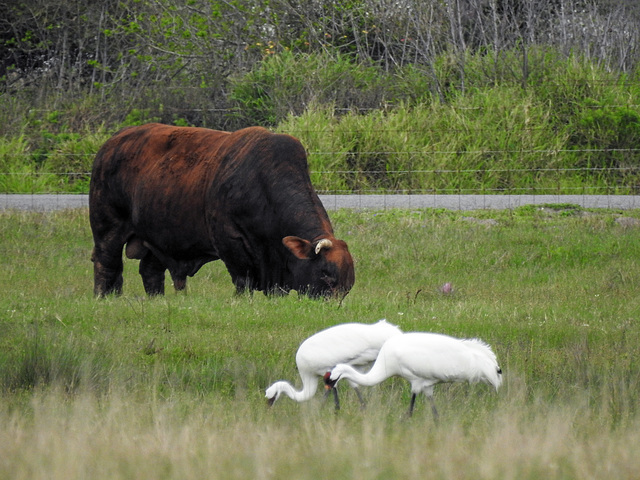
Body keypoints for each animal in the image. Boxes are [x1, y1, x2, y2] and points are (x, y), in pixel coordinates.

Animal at [89, 124, 356, 296]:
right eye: (325, 274)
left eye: (347, 287)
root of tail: (112, 143)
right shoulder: (230, 241)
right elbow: (243, 281)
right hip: (107, 227)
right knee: (107, 263)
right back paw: (105, 297)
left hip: (157, 236)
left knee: (150, 271)